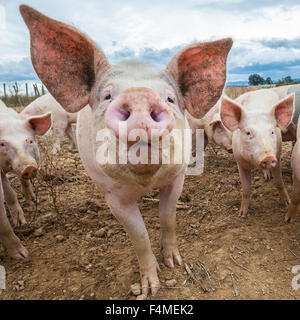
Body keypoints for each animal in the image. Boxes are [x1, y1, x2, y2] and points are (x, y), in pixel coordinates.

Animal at [0, 98, 51, 260]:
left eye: (29, 140)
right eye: (2, 144)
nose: (28, 167)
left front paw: (33, 202)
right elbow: (8, 194)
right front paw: (22, 256)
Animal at [19, 4, 233, 296]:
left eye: (170, 98)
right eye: (107, 96)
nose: (139, 96)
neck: (145, 183)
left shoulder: (176, 178)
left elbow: (168, 217)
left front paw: (174, 263)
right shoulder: (113, 196)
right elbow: (139, 235)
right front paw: (150, 287)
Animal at [219, 89, 294, 218]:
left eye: (272, 132)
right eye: (248, 133)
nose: (268, 157)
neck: (252, 163)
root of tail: (259, 90)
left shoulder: (277, 155)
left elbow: (279, 182)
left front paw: (287, 203)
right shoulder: (240, 162)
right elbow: (246, 189)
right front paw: (242, 215)